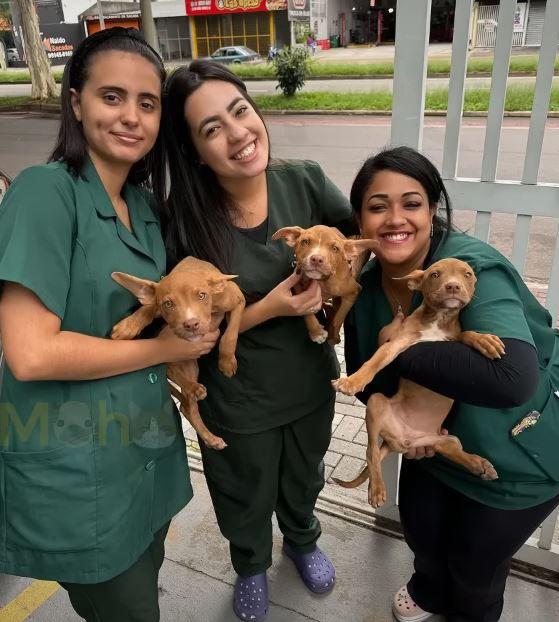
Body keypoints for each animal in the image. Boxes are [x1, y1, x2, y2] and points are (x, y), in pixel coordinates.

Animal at [111, 258, 245, 454]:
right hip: (181, 364)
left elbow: (230, 334)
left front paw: (227, 362)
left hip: (190, 365)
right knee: (180, 387)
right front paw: (128, 326)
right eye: (168, 304)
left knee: (187, 405)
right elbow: (149, 306)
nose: (191, 324)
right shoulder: (159, 305)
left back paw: (209, 435)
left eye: (202, 295)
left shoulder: (238, 299)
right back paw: (194, 390)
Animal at [332, 258, 508, 508]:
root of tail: (403, 441)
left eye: (467, 274)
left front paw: (484, 340)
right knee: (371, 451)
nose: (453, 286)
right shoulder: (396, 343)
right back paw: (377, 489)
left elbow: (465, 335)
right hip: (377, 402)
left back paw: (477, 464)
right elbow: (373, 362)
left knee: (449, 447)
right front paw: (353, 381)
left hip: (444, 438)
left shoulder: (451, 339)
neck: (438, 319)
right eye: (435, 274)